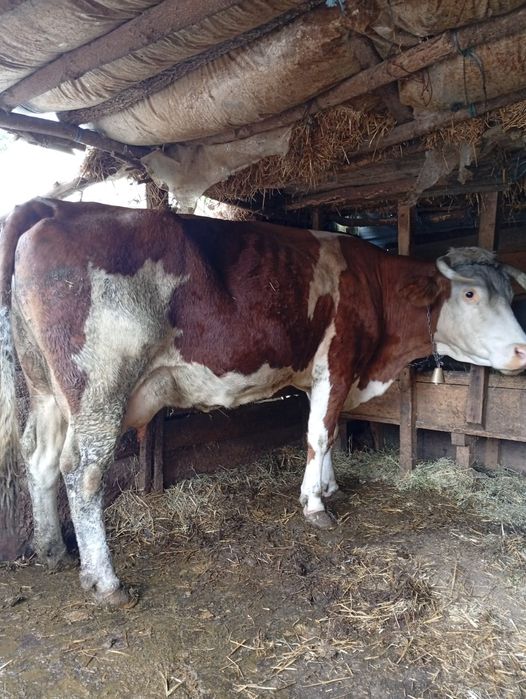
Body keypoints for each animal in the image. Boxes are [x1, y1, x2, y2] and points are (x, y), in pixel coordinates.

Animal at [1, 198, 526, 606]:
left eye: (509, 295)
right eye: (471, 293)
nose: (523, 348)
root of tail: (55, 207)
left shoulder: (320, 374)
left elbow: (325, 430)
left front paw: (328, 486)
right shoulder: (337, 362)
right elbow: (321, 431)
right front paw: (315, 505)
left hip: (45, 387)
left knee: (39, 457)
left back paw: (52, 549)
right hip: (98, 387)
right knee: (82, 471)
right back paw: (105, 581)